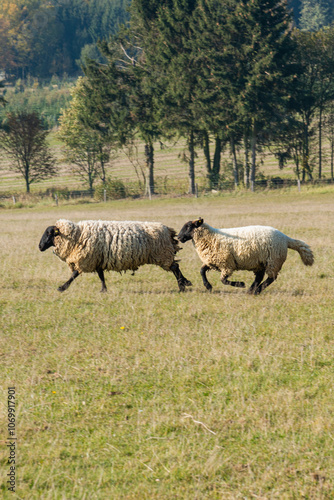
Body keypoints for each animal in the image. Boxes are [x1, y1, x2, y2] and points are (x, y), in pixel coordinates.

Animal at [38, 219, 193, 292]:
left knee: (175, 267)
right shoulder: (97, 260)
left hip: (162, 254)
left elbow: (74, 275)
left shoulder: (86, 260)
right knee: (175, 267)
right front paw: (103, 290)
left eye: (49, 233)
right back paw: (184, 284)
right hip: (163, 254)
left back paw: (182, 285)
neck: (77, 235)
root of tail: (167, 230)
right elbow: (101, 276)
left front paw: (62, 288)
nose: (39, 247)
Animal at [177, 218, 314, 294]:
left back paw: (256, 290)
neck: (210, 237)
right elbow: (202, 271)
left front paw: (240, 284)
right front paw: (208, 286)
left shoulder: (226, 264)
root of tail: (286, 238)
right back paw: (251, 290)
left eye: (188, 226)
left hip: (273, 261)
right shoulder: (212, 262)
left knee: (271, 278)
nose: (178, 237)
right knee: (260, 277)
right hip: (261, 262)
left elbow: (223, 280)